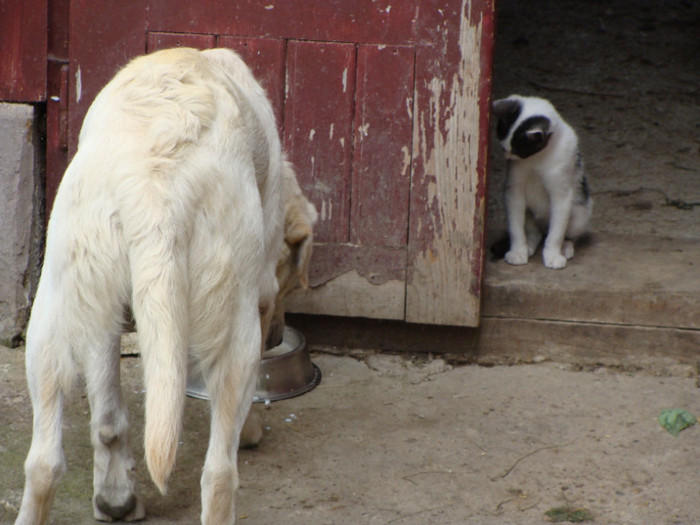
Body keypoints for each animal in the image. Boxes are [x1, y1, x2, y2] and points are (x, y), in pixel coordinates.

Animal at [15, 48, 316, 524]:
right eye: (288, 283)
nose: (276, 338)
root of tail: (156, 186)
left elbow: (107, 416)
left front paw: (113, 496)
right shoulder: (257, 291)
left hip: (52, 316)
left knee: (46, 460)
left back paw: (105, 500)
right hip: (236, 331)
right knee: (219, 472)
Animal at [492, 94, 592, 268]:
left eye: (519, 149)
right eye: (504, 146)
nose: (507, 155)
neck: (537, 159)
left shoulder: (562, 194)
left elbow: (557, 231)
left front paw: (553, 255)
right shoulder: (514, 190)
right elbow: (515, 226)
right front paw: (518, 251)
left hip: (580, 213)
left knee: (567, 233)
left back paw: (565, 247)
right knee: (534, 232)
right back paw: (529, 245)